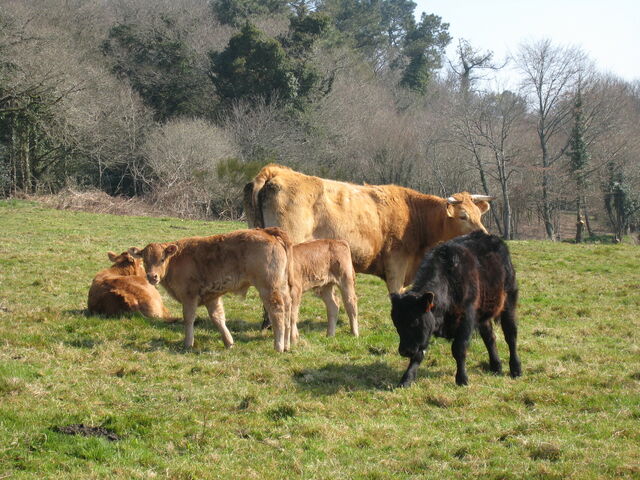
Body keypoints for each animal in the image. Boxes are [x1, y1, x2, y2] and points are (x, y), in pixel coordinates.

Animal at [128, 227, 294, 352]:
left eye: (162, 259)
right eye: (145, 260)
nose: (152, 276)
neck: (176, 259)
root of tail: (267, 232)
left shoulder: (189, 296)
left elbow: (189, 318)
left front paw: (188, 343)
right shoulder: (212, 297)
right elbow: (218, 318)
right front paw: (229, 342)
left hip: (268, 288)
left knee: (277, 312)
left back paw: (278, 346)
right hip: (282, 288)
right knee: (288, 310)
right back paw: (287, 345)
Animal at [390, 231, 521, 387]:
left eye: (414, 322)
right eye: (397, 324)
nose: (404, 351)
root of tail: (492, 237)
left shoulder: (466, 318)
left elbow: (459, 348)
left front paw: (462, 378)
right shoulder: (426, 329)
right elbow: (418, 354)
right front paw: (407, 379)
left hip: (509, 301)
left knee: (511, 335)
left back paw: (516, 368)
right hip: (482, 315)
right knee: (489, 337)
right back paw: (496, 366)